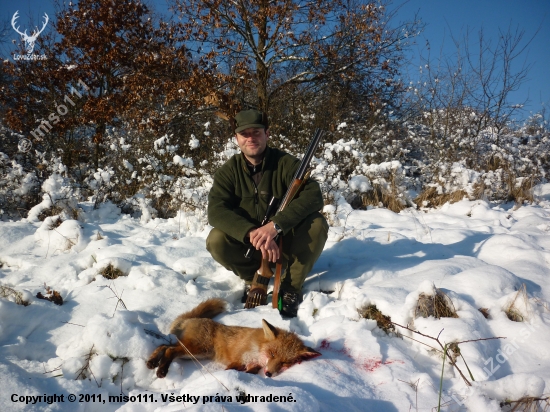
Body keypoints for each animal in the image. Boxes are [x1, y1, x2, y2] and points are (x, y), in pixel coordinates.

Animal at [147, 298, 322, 378]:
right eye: (272, 354)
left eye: (285, 362)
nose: (268, 374)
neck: (257, 351)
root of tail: (193, 318)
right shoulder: (238, 360)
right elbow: (232, 369)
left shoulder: (252, 366)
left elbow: (249, 372)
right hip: (197, 349)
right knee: (169, 350)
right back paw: (161, 369)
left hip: (194, 353)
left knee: (164, 346)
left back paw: (152, 362)